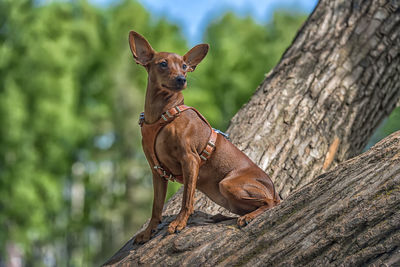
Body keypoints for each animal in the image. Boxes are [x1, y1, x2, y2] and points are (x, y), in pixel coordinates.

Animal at [130, 30, 280, 244]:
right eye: (163, 64)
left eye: (184, 66)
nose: (181, 79)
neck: (162, 116)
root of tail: (275, 190)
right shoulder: (157, 172)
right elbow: (156, 207)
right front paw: (149, 231)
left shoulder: (190, 160)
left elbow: (187, 199)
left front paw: (179, 223)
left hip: (227, 184)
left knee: (269, 202)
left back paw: (249, 217)